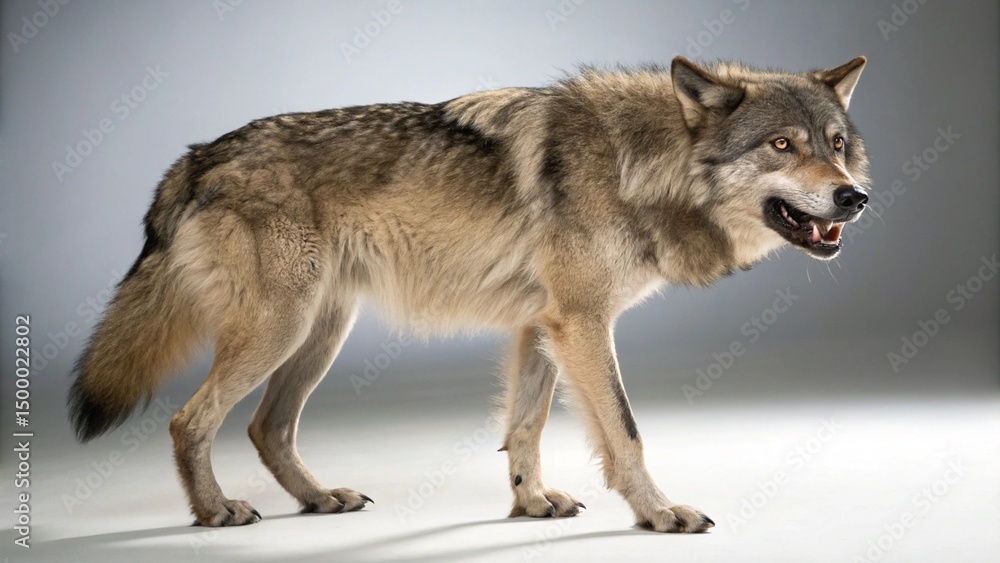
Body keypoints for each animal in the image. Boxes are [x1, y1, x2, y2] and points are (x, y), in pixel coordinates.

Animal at [69, 56, 870, 533]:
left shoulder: (542, 327)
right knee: (189, 421)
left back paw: (320, 499)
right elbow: (627, 432)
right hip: (281, 330)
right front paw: (660, 512)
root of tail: (196, 156)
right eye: (781, 146)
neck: (642, 164)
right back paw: (216, 512)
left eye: (836, 145)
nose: (854, 197)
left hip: (317, 335)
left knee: (268, 428)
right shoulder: (582, 323)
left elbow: (526, 428)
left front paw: (530, 502)